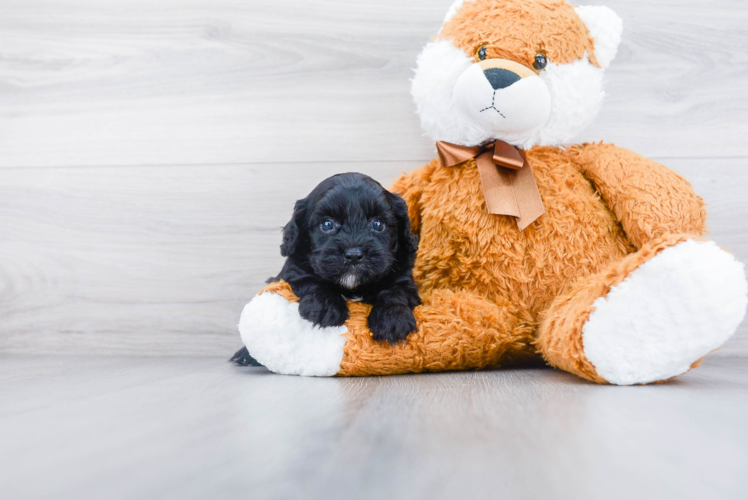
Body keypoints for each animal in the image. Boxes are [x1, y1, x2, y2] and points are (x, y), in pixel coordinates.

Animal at [232, 174, 420, 366]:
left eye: (378, 224)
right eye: (327, 224)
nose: (354, 254)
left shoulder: (403, 277)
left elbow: (395, 291)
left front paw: (392, 318)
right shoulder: (293, 271)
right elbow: (311, 281)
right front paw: (325, 307)